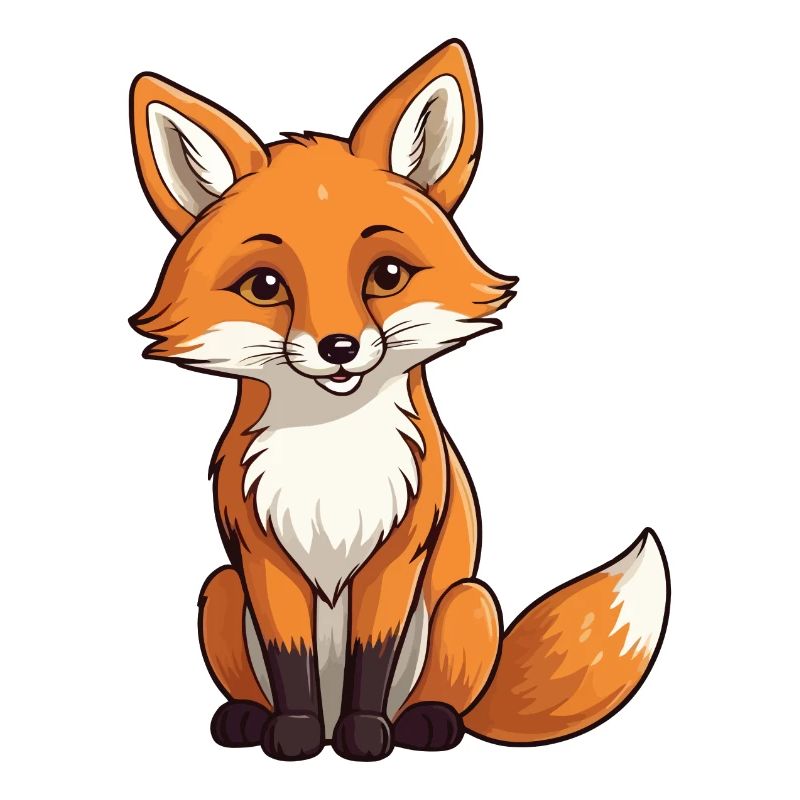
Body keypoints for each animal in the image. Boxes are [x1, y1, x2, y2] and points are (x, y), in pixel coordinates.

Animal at [129, 40, 670, 762]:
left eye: (387, 275)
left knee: (441, 693)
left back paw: (425, 722)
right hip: (219, 590)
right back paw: (247, 717)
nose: (338, 347)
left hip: (467, 605)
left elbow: (372, 656)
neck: (331, 454)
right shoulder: (261, 556)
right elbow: (290, 661)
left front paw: (364, 736)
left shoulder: (399, 550)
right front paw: (295, 734)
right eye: (265, 286)